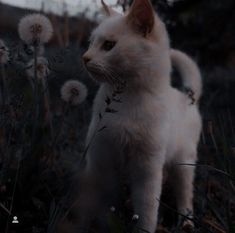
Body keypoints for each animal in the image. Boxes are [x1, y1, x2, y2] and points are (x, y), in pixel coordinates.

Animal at [81, 0, 202, 231]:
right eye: (91, 43)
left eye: (109, 45)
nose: (85, 58)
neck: (126, 101)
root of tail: (188, 97)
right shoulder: (100, 159)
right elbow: (100, 203)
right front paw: (96, 223)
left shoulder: (147, 169)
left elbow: (147, 210)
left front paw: (144, 229)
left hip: (184, 165)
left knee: (185, 196)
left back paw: (186, 223)